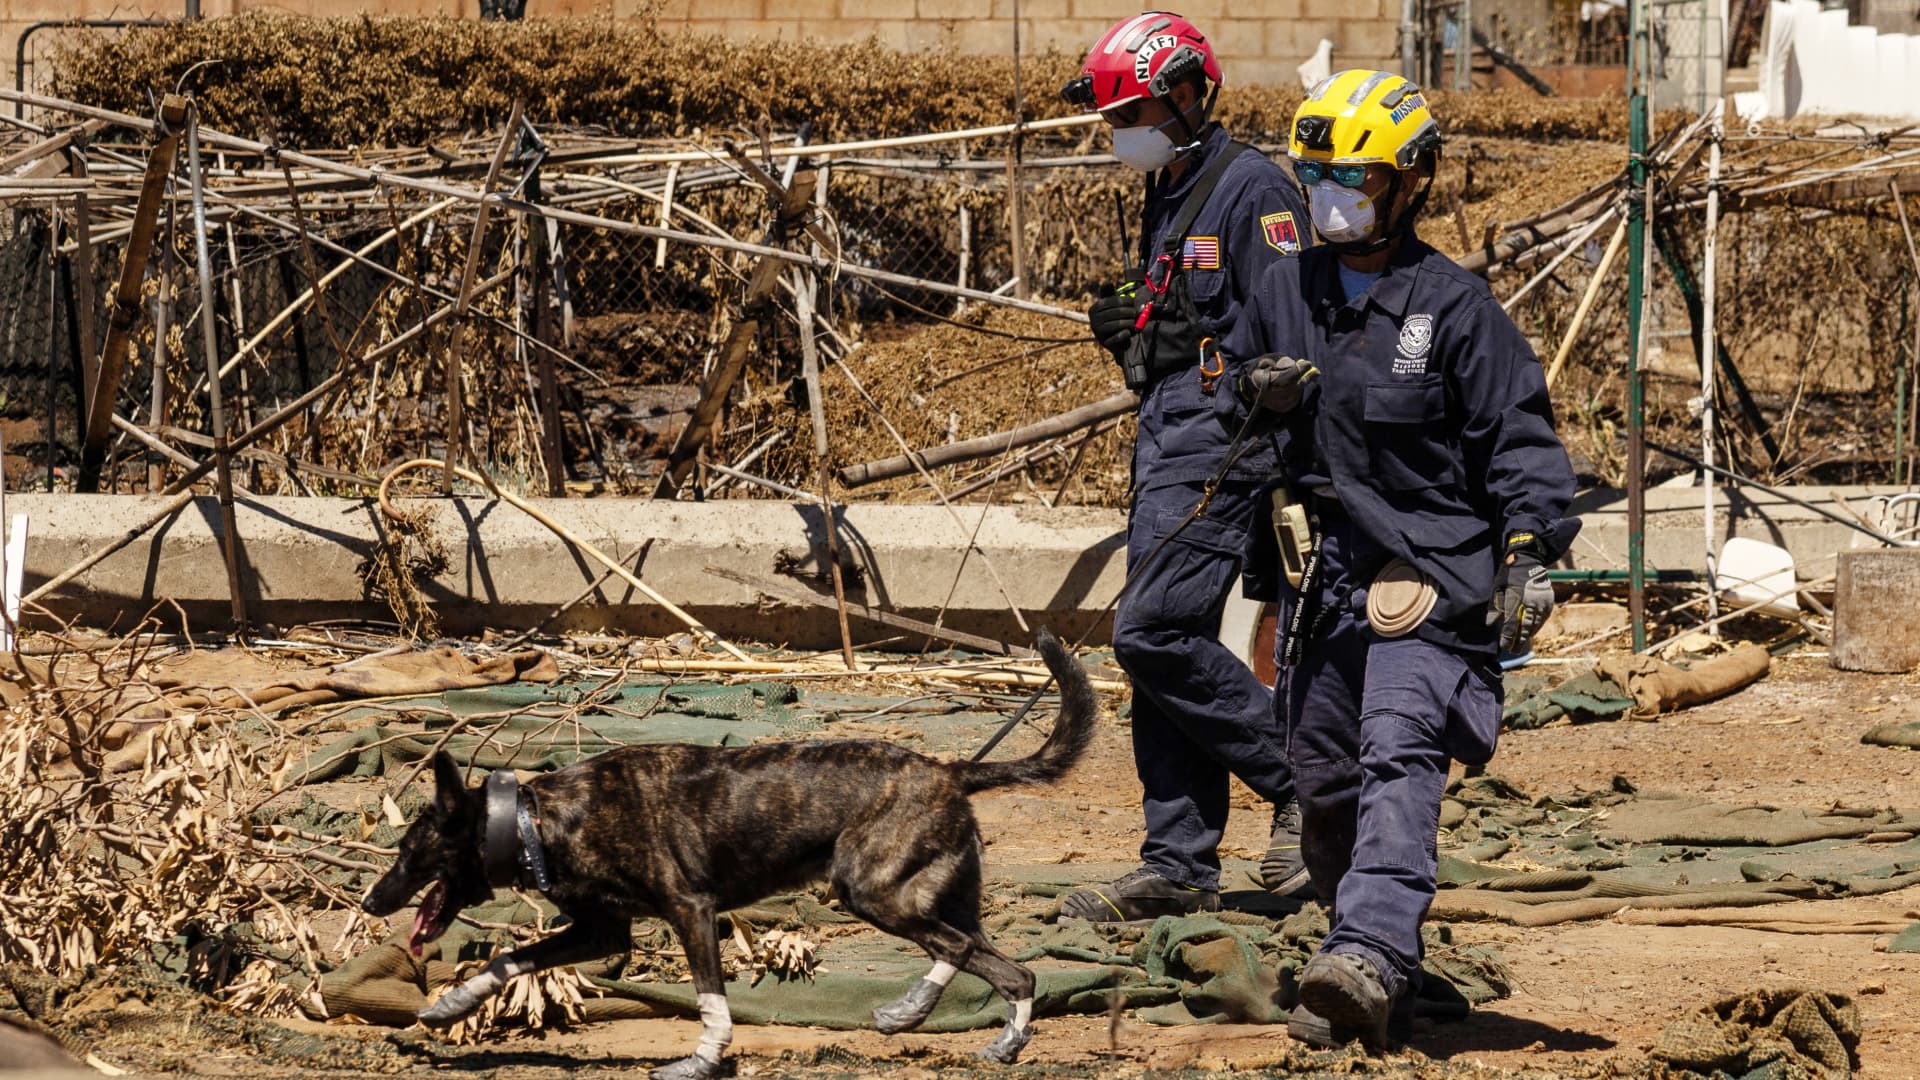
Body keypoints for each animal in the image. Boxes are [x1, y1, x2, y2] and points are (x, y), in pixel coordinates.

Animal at [360, 626, 1098, 1068]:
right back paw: (940, 1017)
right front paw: (452, 1004)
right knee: (988, 955)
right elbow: (509, 958)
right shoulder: (603, 932)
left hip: (871, 891)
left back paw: (977, 1027)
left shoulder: (690, 911)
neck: (536, 821)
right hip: (930, 894)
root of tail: (950, 769)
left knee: (983, 958)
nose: (369, 902)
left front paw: (703, 1059)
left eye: (408, 853)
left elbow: (710, 997)